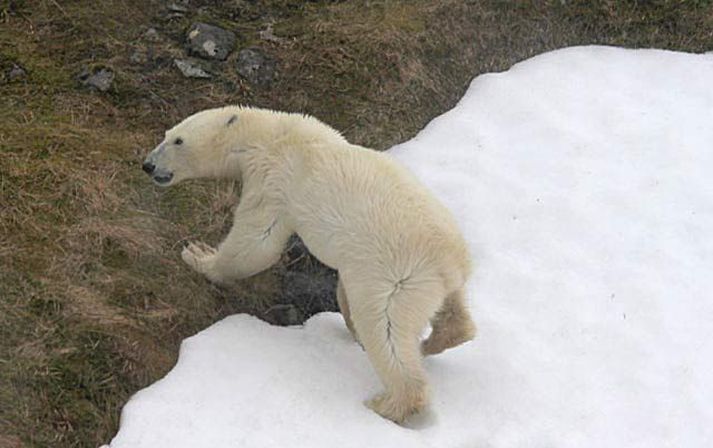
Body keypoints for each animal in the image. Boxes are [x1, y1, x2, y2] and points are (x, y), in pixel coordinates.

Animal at [142, 107, 476, 422]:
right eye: (166, 134)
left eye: (178, 140)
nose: (148, 165)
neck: (269, 136)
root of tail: (451, 260)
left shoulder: (273, 180)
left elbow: (256, 243)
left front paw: (198, 254)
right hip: (433, 281)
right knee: (452, 312)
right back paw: (433, 341)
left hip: (398, 277)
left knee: (385, 328)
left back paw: (388, 403)